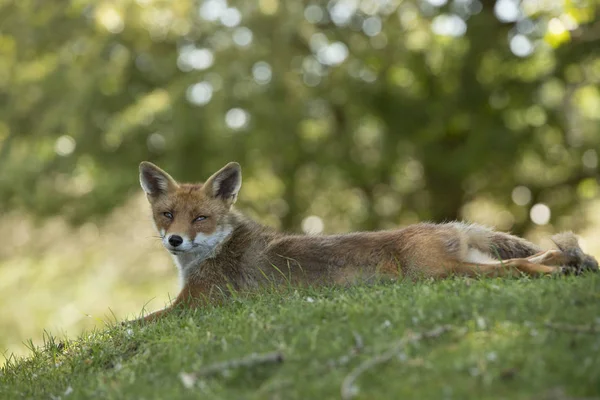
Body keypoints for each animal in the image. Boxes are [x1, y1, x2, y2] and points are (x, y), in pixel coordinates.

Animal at [134, 160, 596, 322]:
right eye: (167, 215)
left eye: (201, 218)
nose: (175, 239)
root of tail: (450, 225)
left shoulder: (196, 305)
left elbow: (130, 326)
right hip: (466, 266)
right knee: (541, 254)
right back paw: (571, 265)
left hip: (437, 273)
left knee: (517, 266)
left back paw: (561, 272)